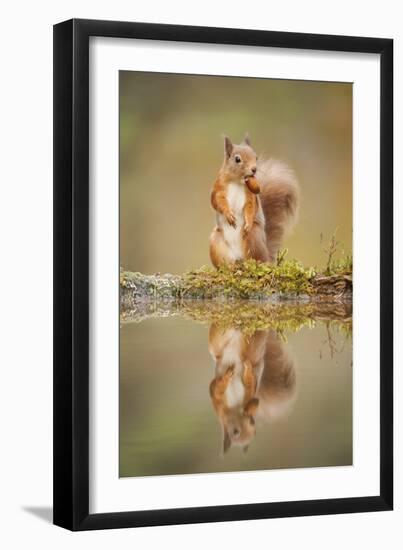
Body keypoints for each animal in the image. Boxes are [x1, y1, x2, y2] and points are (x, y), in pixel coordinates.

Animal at [210, 137, 298, 268]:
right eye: (237, 159)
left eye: (256, 157)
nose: (254, 169)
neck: (237, 181)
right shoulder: (218, 188)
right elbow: (216, 202)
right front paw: (228, 215)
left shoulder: (251, 196)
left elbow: (251, 207)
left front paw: (248, 221)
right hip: (216, 242)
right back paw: (230, 267)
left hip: (253, 236)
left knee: (257, 259)